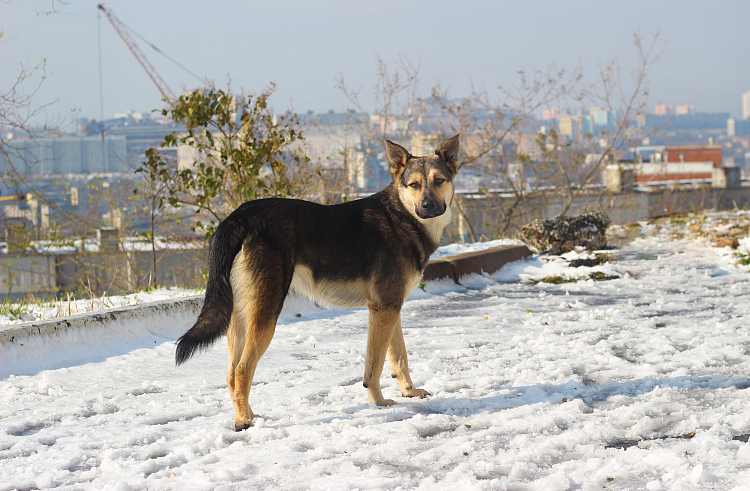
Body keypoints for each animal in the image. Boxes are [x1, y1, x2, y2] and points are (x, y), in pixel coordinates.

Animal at [176, 136, 458, 432]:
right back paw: (243, 422)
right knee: (243, 370)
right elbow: (376, 365)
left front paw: (409, 392)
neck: (401, 216)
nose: (428, 206)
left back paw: (250, 416)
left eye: (439, 180)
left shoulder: (391, 308)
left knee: (231, 374)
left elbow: (399, 357)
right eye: (414, 185)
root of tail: (237, 217)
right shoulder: (383, 310)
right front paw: (380, 402)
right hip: (266, 316)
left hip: (241, 315)